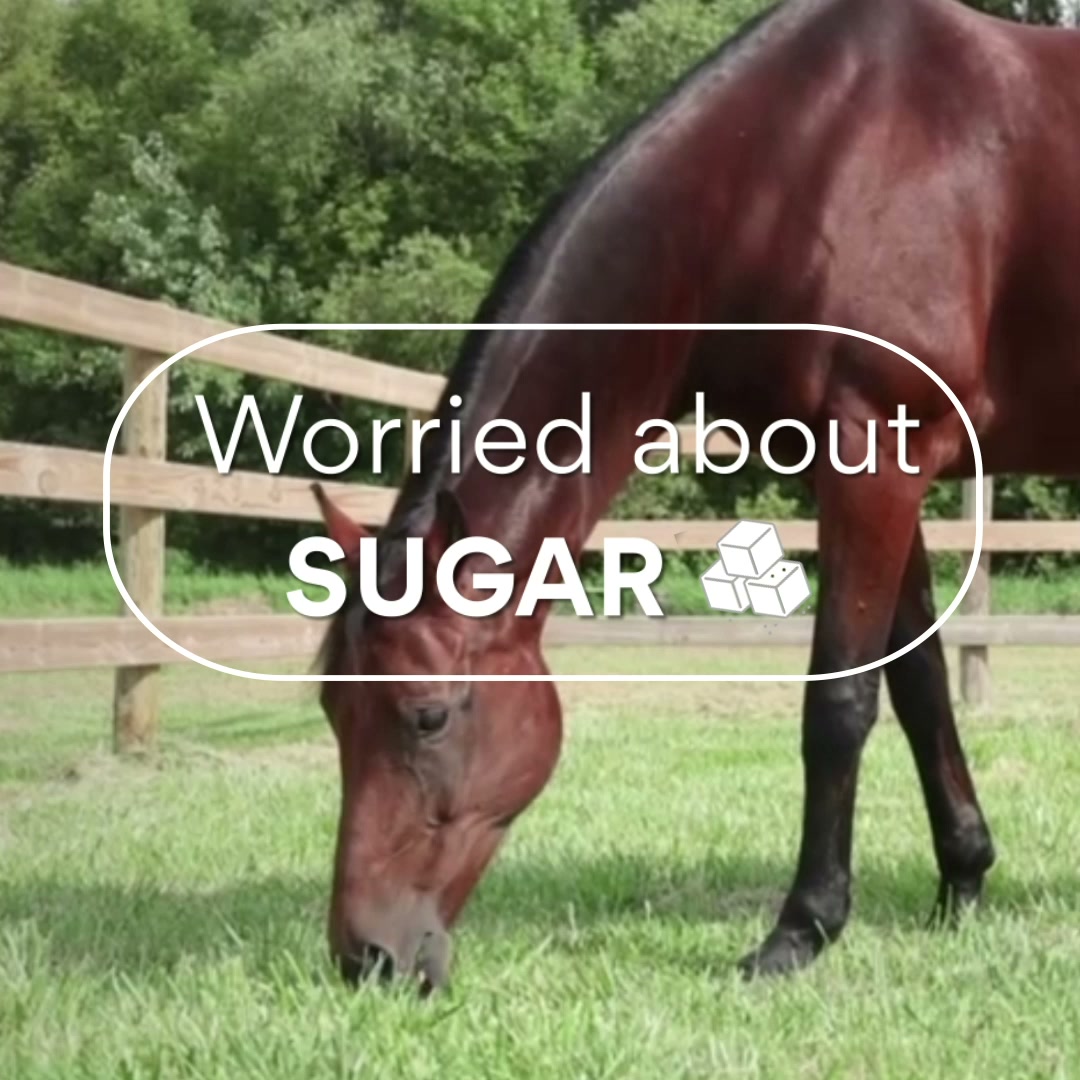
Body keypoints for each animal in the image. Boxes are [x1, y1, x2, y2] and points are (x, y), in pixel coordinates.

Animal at [313, 0, 1080, 989]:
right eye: (332, 710)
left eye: (428, 716)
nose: (366, 958)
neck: (820, 151)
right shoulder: (871, 473)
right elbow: (919, 686)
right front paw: (963, 881)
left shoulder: (876, 457)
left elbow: (839, 704)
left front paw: (802, 928)